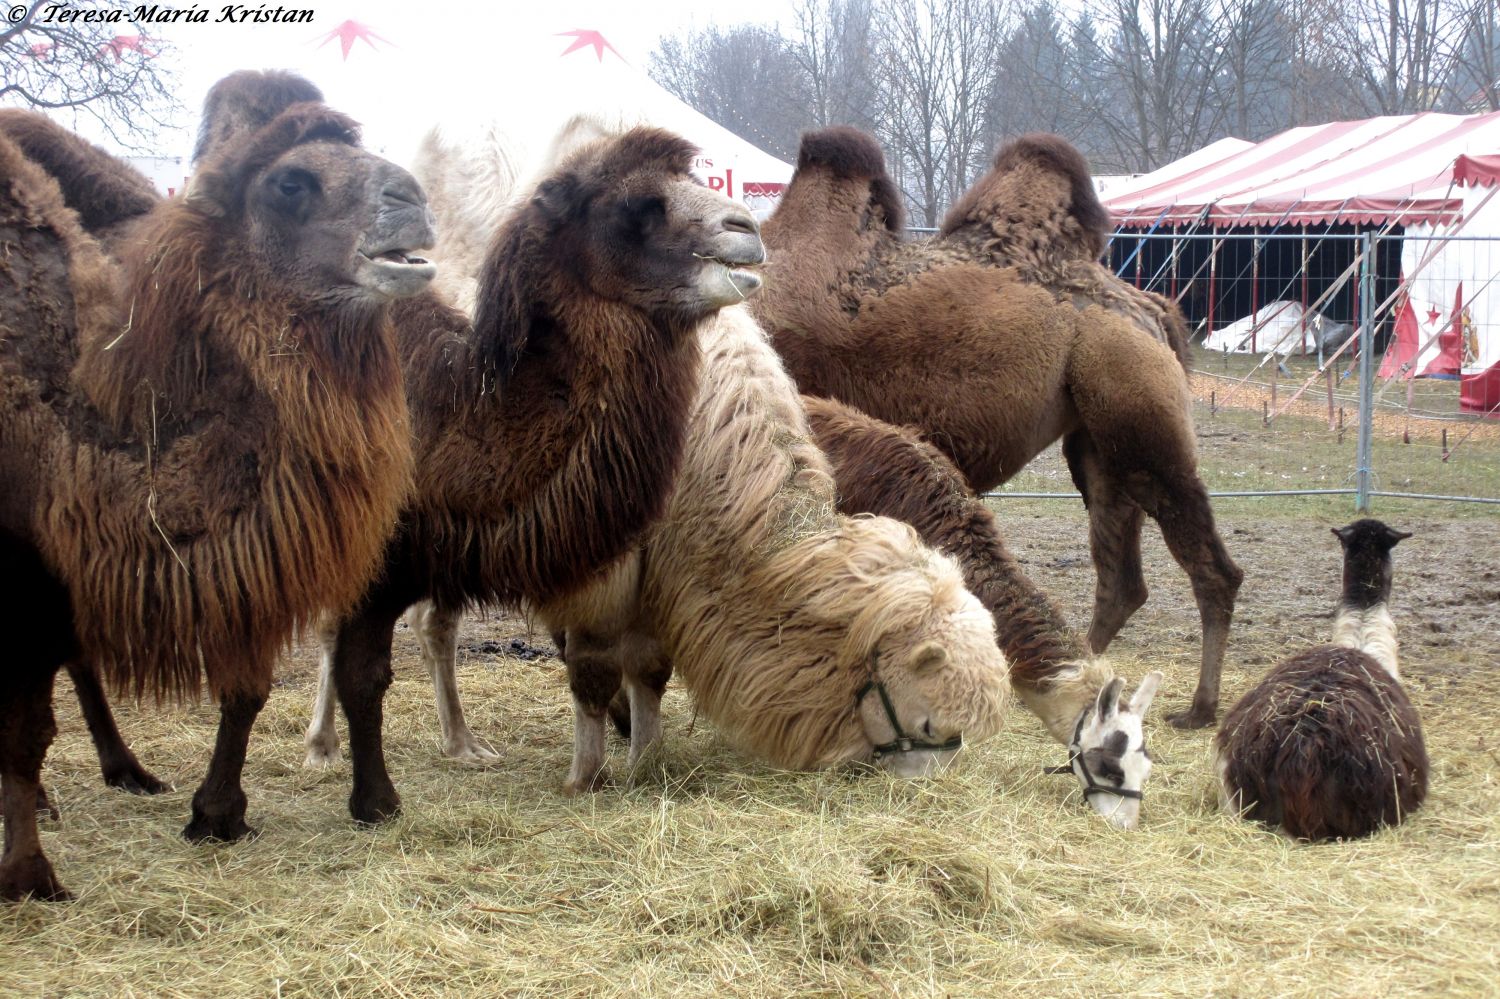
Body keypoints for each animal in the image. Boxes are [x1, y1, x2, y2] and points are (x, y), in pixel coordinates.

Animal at [1, 102, 435, 900]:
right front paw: (28, 874)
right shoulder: (22, 572)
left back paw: (129, 773)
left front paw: (218, 814)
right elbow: (23, 730)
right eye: (290, 183)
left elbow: (247, 686)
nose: (412, 201)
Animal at [756, 128, 1248, 729]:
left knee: (1209, 565)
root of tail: (1151, 309)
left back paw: (1199, 707)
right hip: (1097, 442)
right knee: (1121, 576)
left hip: (1138, 410)